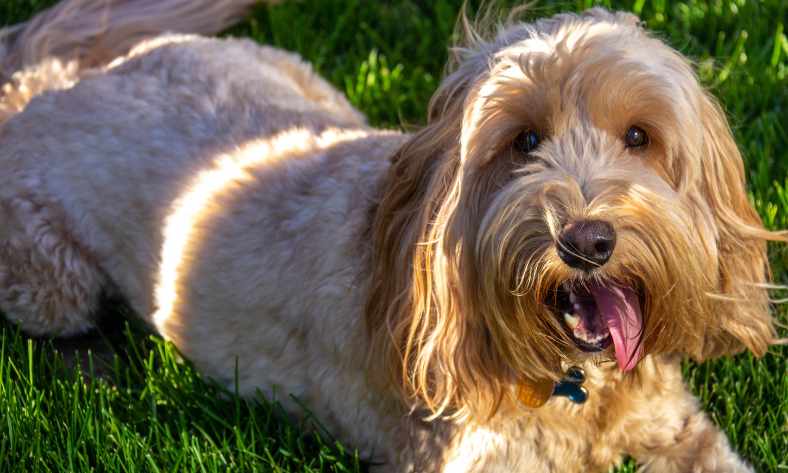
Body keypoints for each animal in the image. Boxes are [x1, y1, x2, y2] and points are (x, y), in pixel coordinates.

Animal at [0, 0, 780, 472]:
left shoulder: (681, 430)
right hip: (48, 277)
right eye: (524, 141)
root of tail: (53, 80)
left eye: (639, 137)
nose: (586, 242)